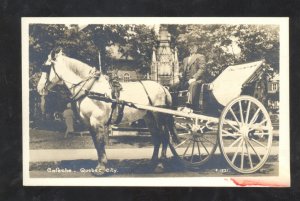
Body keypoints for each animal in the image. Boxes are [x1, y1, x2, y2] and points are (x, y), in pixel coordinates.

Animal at [37, 48, 178, 174]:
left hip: (159, 116)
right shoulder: (89, 123)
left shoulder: (96, 122)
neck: (91, 89)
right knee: (157, 138)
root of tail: (163, 88)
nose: (39, 88)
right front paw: (101, 164)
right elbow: (96, 144)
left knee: (164, 137)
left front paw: (101, 167)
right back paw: (152, 163)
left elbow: (100, 143)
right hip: (149, 117)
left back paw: (160, 164)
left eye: (46, 67)